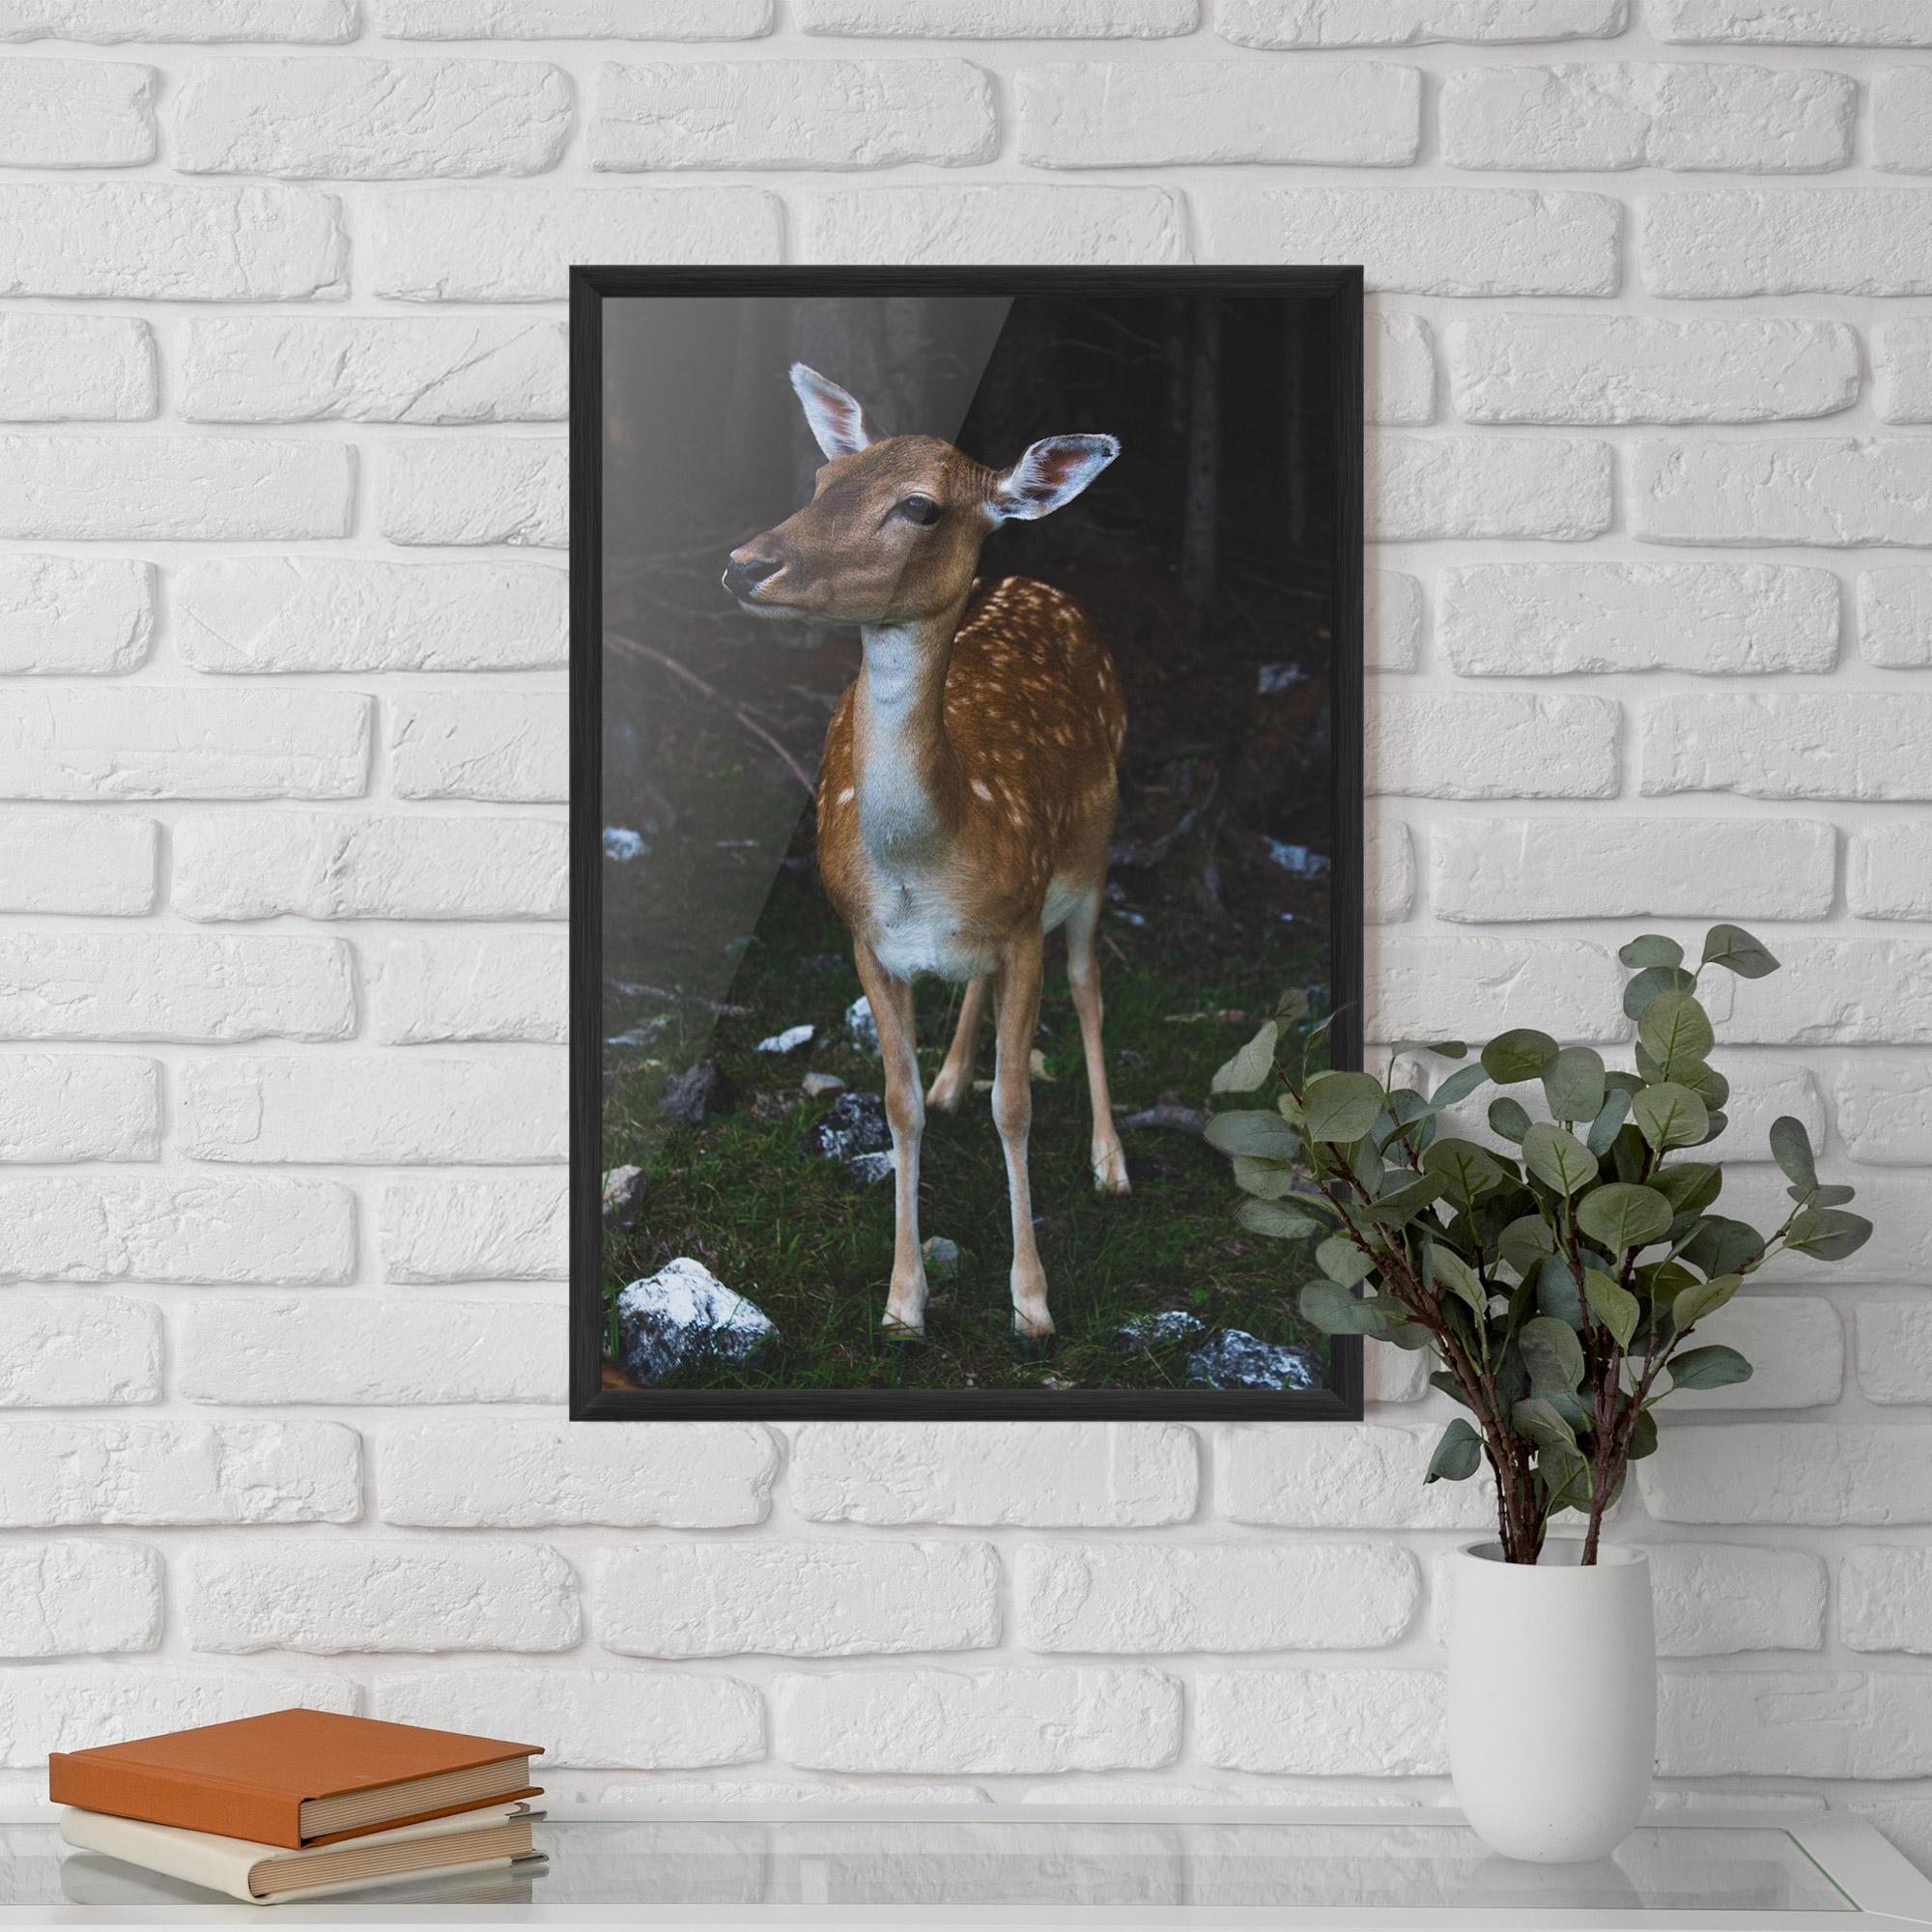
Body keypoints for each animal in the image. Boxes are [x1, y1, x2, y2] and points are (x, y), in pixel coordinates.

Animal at [722, 363, 1130, 1343]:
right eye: (824, 480)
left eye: (919, 507)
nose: (746, 563)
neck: (928, 860)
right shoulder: (866, 938)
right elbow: (896, 1106)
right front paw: (903, 1300)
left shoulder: (1022, 922)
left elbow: (1015, 1105)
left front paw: (1032, 1301)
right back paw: (952, 1079)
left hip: (1093, 854)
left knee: (1089, 982)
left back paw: (1111, 1163)